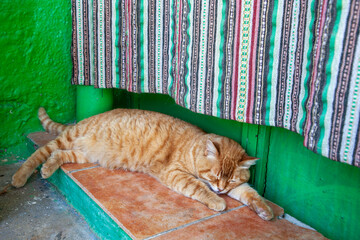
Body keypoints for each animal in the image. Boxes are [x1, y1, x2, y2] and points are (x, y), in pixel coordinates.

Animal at [12, 108, 274, 220]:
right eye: (214, 175)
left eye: (230, 179)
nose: (220, 189)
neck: (193, 147)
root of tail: (85, 120)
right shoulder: (176, 174)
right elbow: (198, 187)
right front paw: (216, 201)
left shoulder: (237, 188)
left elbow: (251, 194)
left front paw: (264, 209)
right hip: (65, 140)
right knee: (39, 154)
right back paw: (20, 177)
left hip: (84, 154)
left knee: (59, 155)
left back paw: (48, 168)